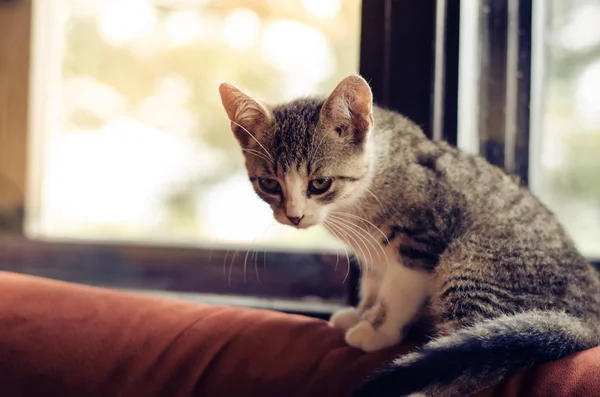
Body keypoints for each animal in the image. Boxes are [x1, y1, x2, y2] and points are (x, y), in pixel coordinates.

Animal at [218, 75, 600, 396]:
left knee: (473, 354)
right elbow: (374, 284)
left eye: (320, 183)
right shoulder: (372, 253)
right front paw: (362, 314)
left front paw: (378, 330)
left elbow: (397, 294)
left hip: (471, 260)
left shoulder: (419, 243)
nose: (294, 216)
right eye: (269, 184)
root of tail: (589, 320)